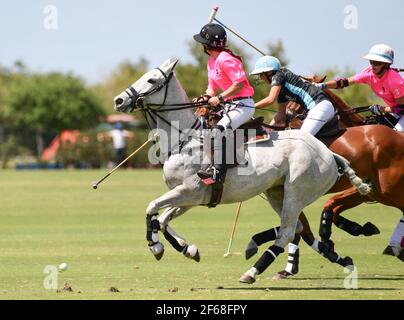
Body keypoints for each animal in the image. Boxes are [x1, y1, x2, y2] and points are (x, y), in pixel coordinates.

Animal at [112, 59, 368, 282]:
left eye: (152, 80)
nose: (119, 100)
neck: (184, 140)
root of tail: (328, 153)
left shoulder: (189, 191)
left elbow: (151, 208)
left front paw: (156, 246)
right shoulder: (191, 197)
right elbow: (162, 219)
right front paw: (188, 249)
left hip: (296, 192)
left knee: (288, 231)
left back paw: (252, 272)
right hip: (277, 192)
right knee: (297, 228)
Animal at [248, 89, 404, 276]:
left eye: (296, 102)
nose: (289, 115)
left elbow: (305, 227)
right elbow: (304, 227)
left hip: (387, 190)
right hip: (383, 192)